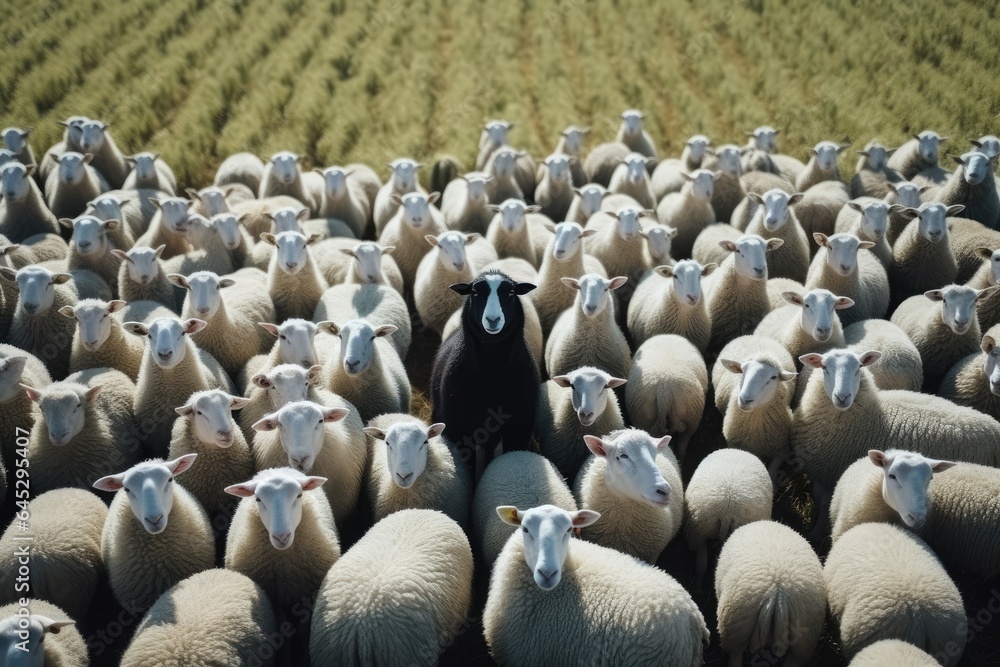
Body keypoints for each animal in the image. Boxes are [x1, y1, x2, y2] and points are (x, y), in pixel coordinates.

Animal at [792, 349, 1000, 529]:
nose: (842, 397)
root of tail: (995, 426)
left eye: (859, 367)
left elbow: (823, 503)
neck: (868, 414)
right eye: (824, 367)